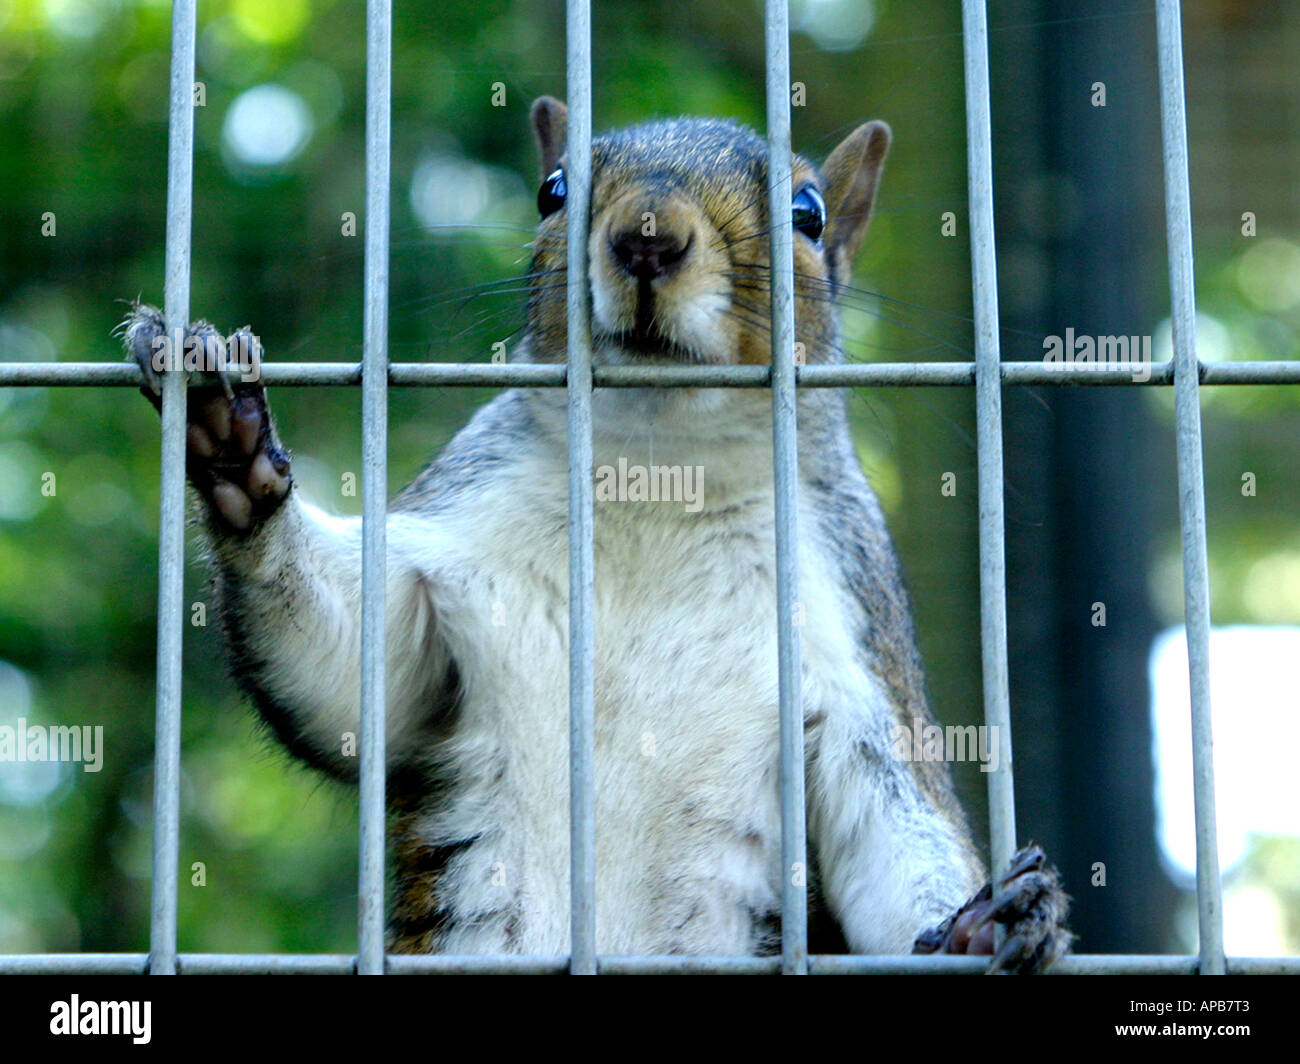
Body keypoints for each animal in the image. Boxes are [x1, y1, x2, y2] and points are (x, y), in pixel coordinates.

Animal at [124, 99, 1066, 967]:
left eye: (808, 213)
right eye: (552, 191)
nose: (647, 238)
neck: (656, 473)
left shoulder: (857, 635)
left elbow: (895, 831)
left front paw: (991, 923)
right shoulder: (452, 546)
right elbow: (345, 676)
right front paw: (229, 432)